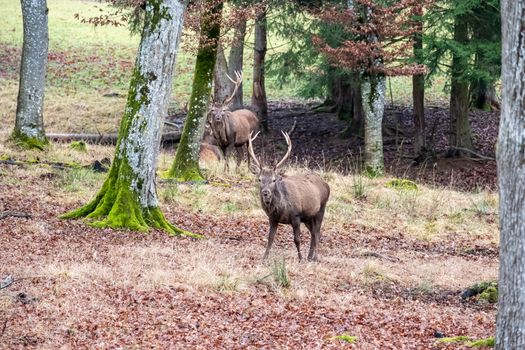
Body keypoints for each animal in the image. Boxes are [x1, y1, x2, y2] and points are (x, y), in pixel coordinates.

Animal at [248, 131, 330, 260]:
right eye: (259, 179)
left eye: (274, 179)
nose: (265, 192)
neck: (282, 209)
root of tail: (326, 185)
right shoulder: (273, 219)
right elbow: (270, 238)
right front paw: (264, 258)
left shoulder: (296, 216)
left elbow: (297, 240)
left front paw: (300, 258)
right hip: (308, 217)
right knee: (313, 233)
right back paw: (309, 256)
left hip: (321, 209)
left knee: (317, 233)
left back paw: (315, 257)